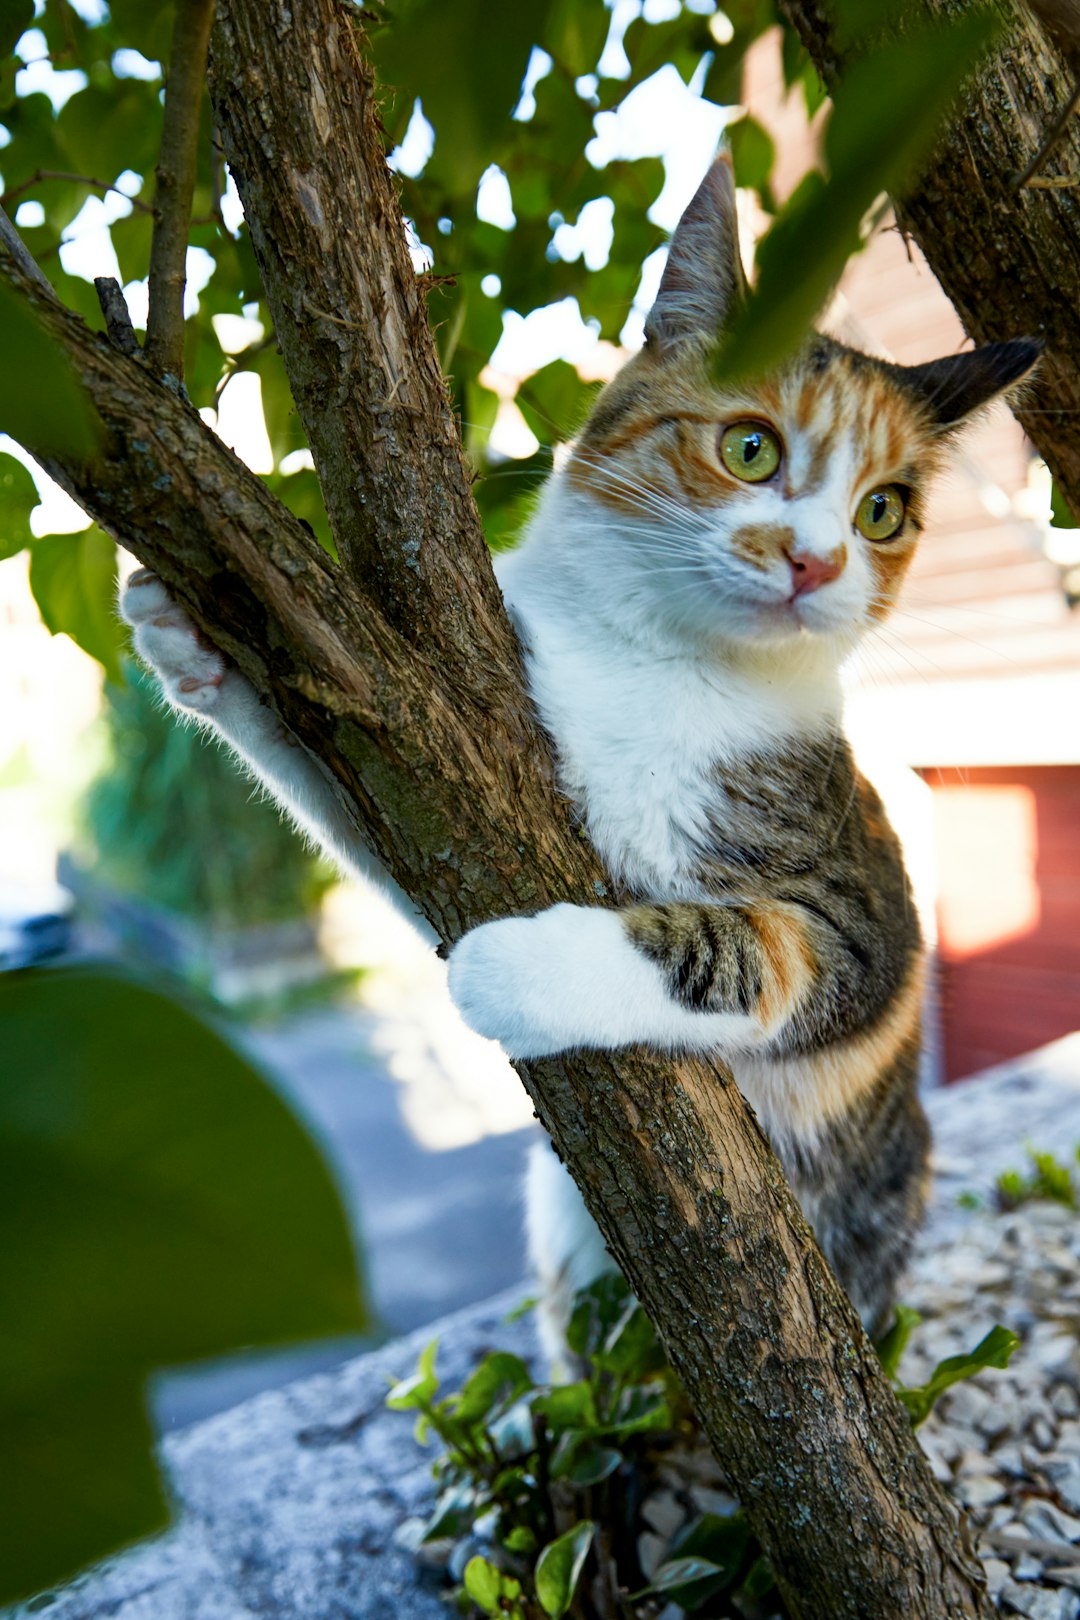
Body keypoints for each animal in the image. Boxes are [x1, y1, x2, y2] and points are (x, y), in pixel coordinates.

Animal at [122, 152, 1042, 1360]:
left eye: (884, 512)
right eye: (751, 447)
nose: (816, 560)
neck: (653, 657)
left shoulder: (867, 918)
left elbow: (750, 948)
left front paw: (522, 967)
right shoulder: (465, 757)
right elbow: (357, 779)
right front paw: (202, 638)